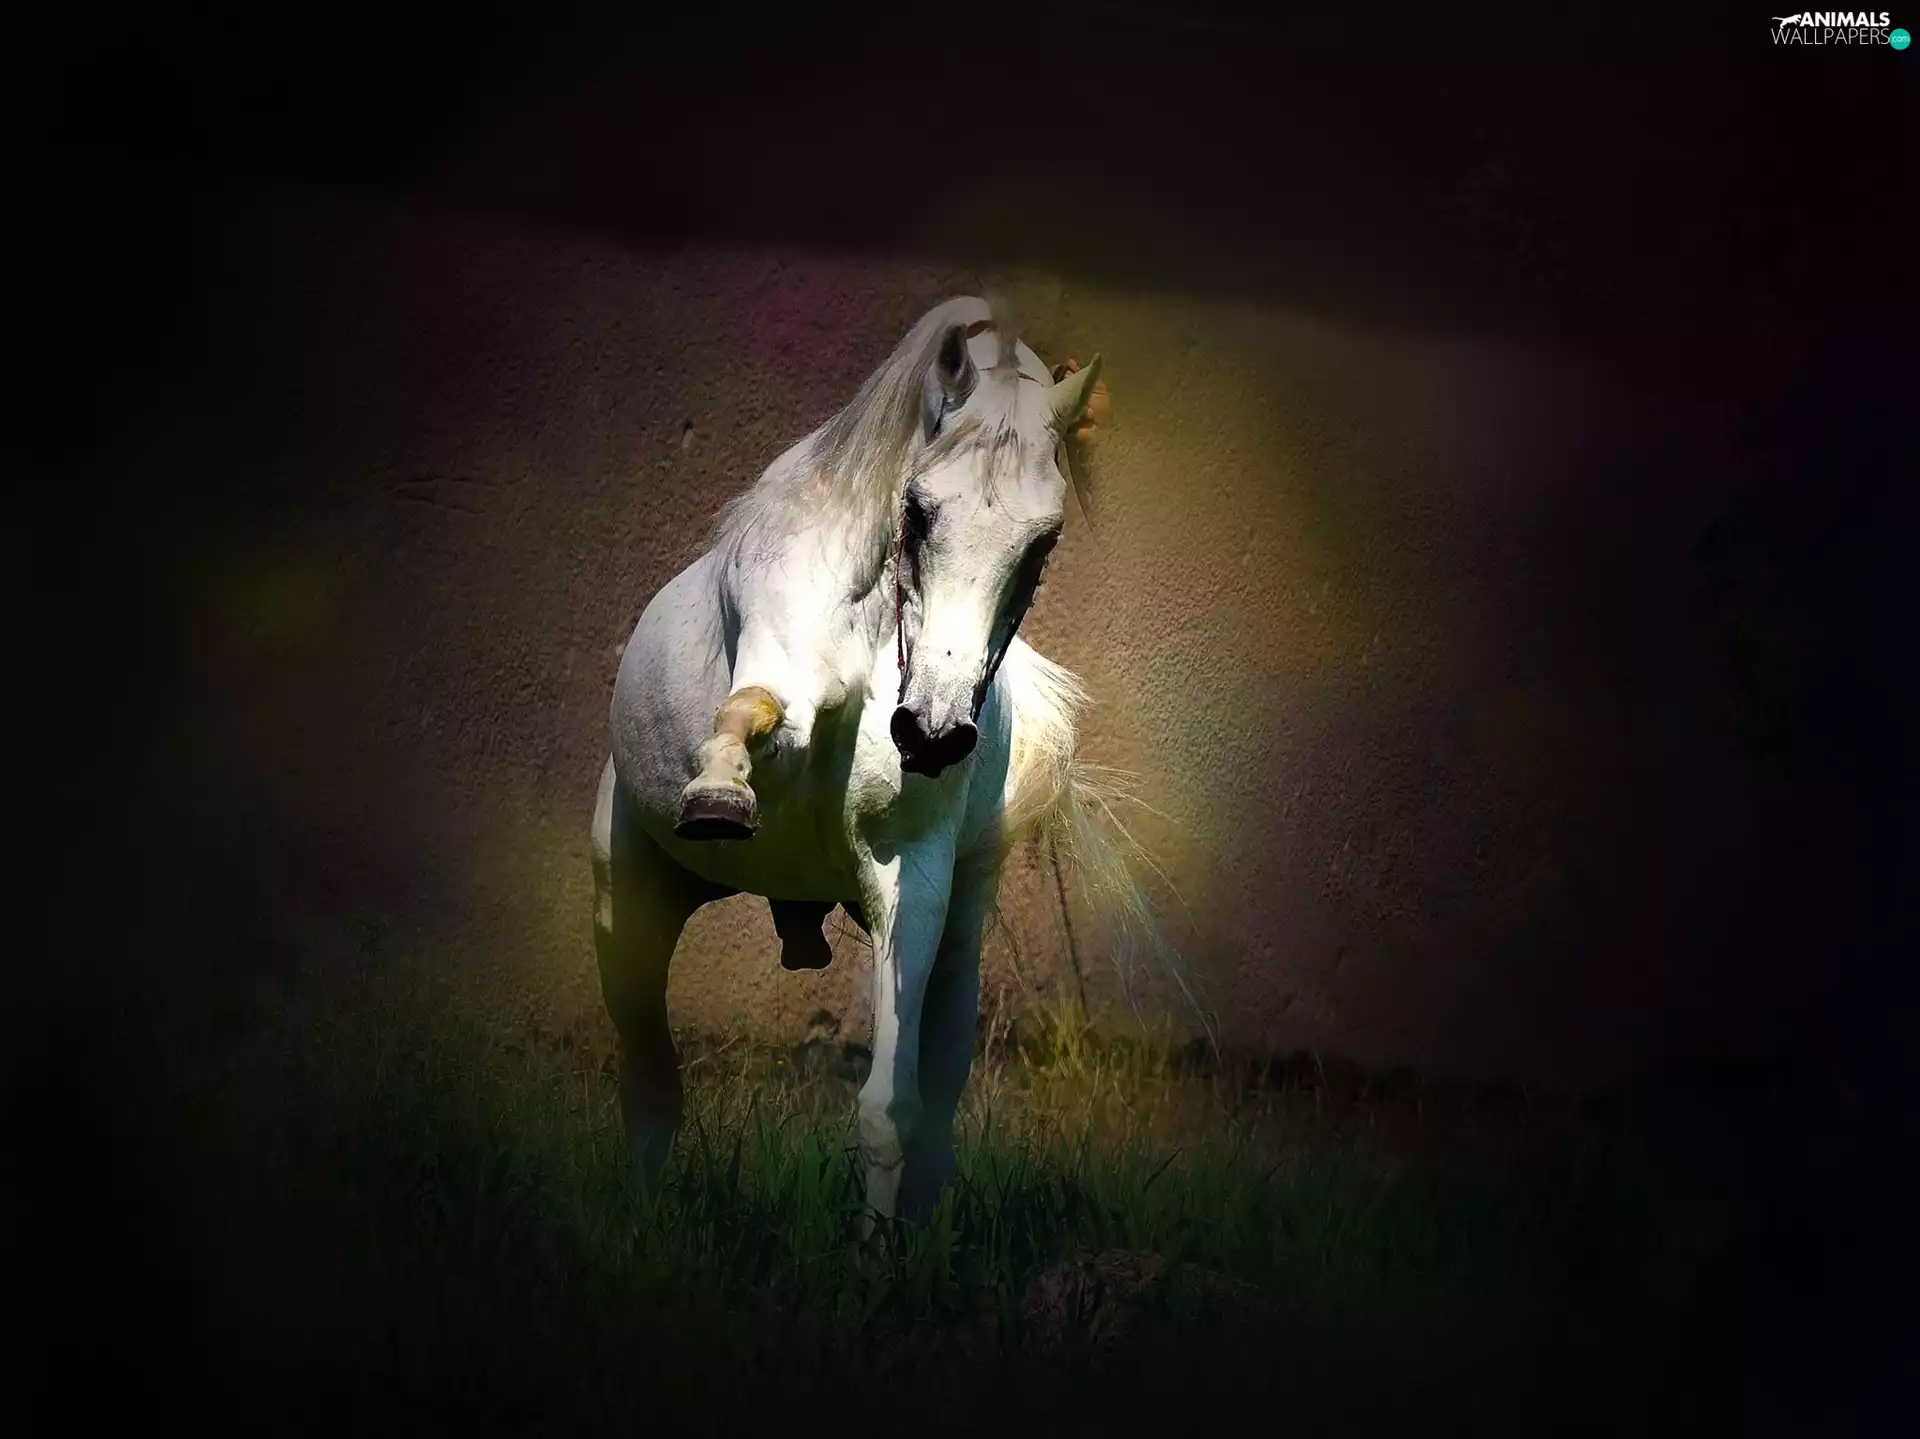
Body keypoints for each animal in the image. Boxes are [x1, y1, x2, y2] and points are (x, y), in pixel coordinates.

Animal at [591, 295, 1166, 1227]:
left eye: (1042, 542)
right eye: (921, 511)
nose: (929, 732)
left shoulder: (911, 877)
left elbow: (893, 1108)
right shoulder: (777, 673)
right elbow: (755, 707)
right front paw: (720, 787)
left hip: (957, 933)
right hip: (629, 906)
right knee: (650, 1090)